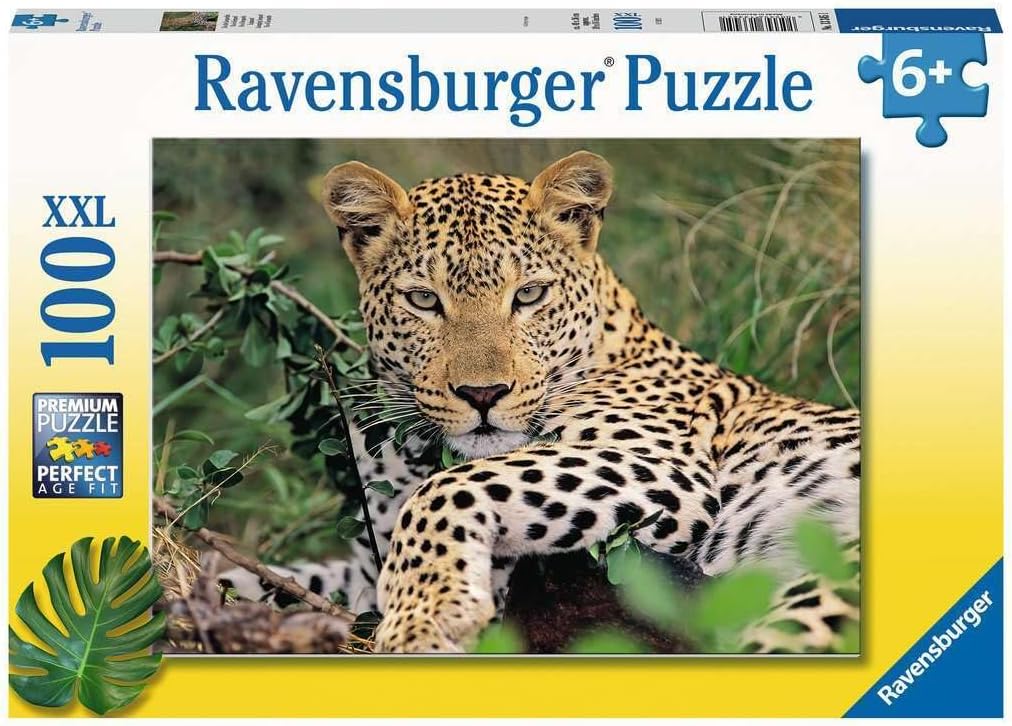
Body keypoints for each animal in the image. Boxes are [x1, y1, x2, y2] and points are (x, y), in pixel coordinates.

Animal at [219, 151, 861, 654]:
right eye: (424, 300)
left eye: (528, 295)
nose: (482, 394)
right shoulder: (364, 561)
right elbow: (277, 576)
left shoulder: (665, 470)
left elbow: (447, 489)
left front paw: (425, 617)